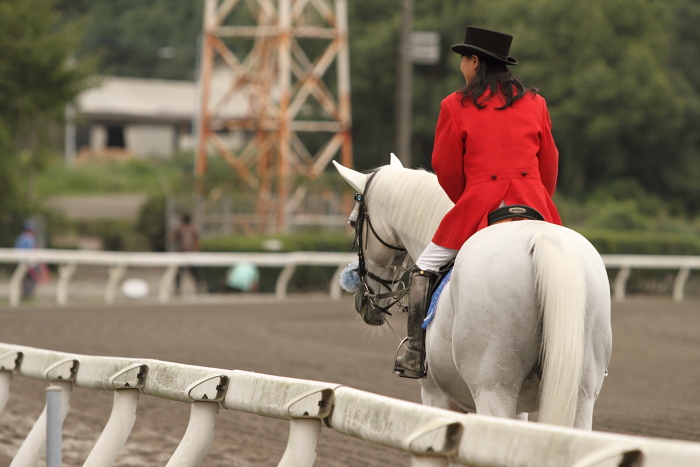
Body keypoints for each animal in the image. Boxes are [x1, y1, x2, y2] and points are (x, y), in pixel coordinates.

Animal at [334, 155, 612, 430]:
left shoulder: (436, 396)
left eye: (352, 223)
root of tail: (544, 239)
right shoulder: (520, 409)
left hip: (493, 390)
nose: (363, 301)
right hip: (581, 395)